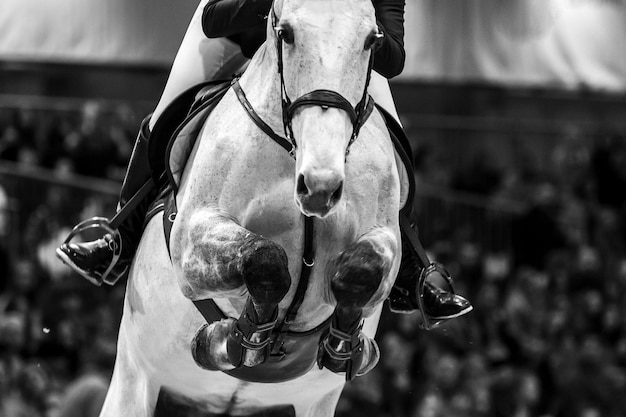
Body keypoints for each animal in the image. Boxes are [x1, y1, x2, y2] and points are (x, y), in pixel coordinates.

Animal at [100, 0, 402, 412]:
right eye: (285, 34)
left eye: (372, 40)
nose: (319, 187)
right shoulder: (191, 244)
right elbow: (266, 260)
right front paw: (236, 339)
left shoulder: (385, 237)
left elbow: (362, 270)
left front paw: (345, 345)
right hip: (134, 376)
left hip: (315, 402)